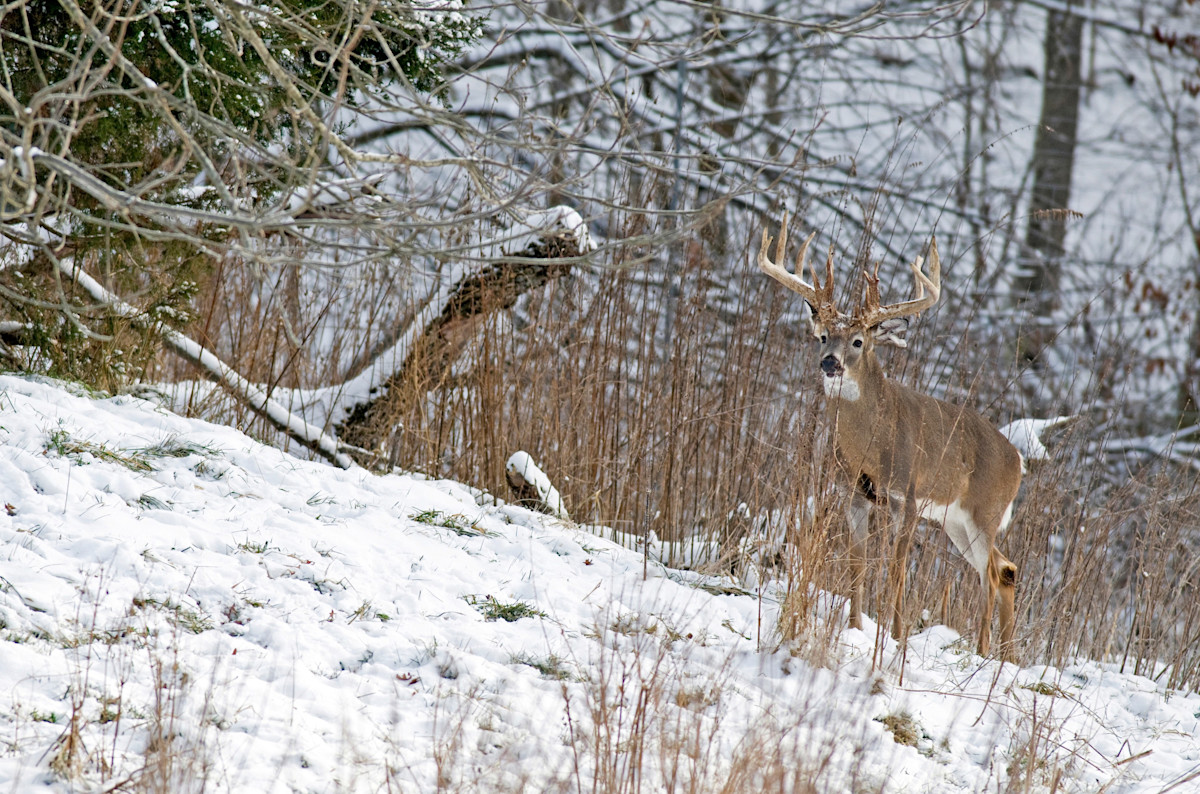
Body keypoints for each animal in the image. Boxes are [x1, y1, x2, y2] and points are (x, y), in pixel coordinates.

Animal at [757, 211, 1022, 658]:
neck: (871, 445)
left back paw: (984, 650)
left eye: (858, 341)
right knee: (1006, 569)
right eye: (823, 335)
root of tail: (1019, 459)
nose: (829, 362)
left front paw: (895, 638)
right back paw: (1004, 656)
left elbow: (896, 569)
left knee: (990, 573)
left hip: (984, 511)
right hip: (955, 521)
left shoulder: (907, 497)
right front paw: (854, 626)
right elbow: (858, 563)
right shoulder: (852, 493)